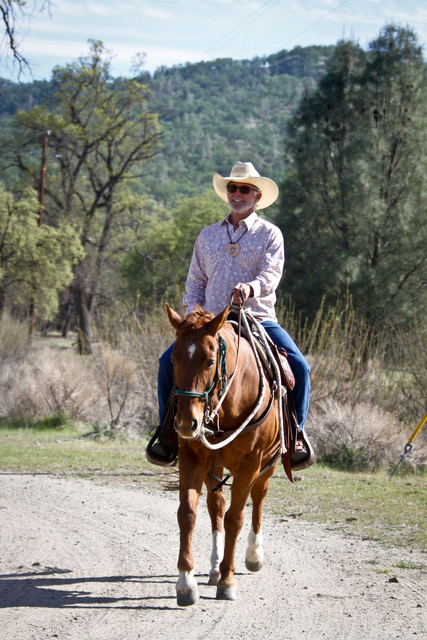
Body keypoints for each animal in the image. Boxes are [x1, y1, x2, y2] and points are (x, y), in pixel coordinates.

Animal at [166, 302, 284, 608]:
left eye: (209, 361)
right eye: (173, 359)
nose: (187, 424)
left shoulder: (250, 464)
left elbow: (235, 518)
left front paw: (228, 581)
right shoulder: (191, 458)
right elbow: (188, 513)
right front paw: (186, 583)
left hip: (268, 464)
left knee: (258, 497)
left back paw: (253, 555)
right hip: (215, 465)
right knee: (216, 505)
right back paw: (214, 568)